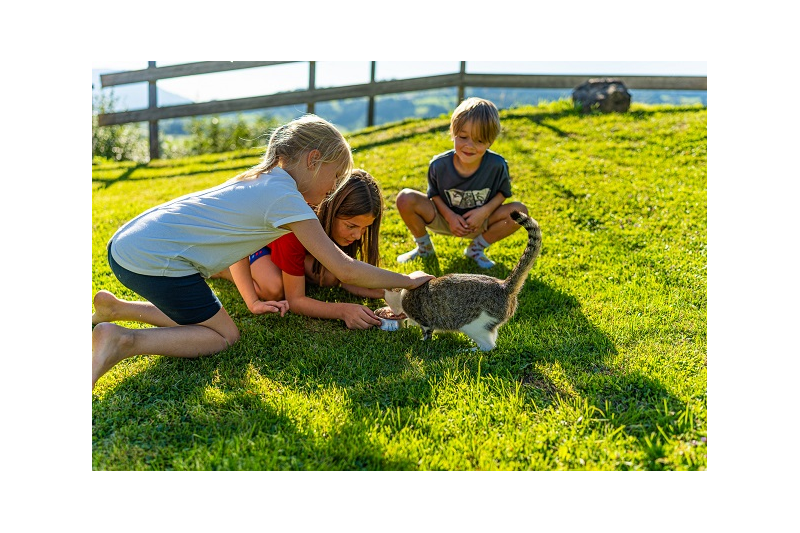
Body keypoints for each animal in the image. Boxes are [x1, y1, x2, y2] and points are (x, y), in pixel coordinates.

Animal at [382, 210, 544, 352]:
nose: (394, 311)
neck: (404, 293)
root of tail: (503, 285)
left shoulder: (424, 320)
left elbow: (427, 333)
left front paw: (423, 342)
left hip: (473, 325)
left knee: (489, 347)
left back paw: (468, 350)